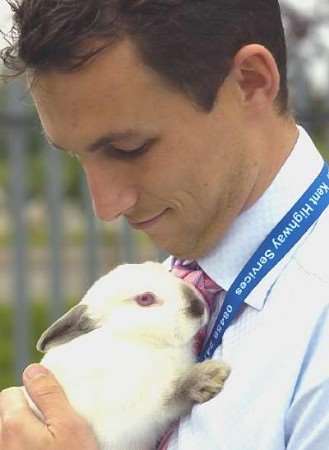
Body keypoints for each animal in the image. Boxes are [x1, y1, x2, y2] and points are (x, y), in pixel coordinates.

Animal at [23, 262, 228, 450]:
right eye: (145, 299)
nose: (198, 307)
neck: (134, 338)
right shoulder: (139, 412)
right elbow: (173, 395)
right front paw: (211, 374)